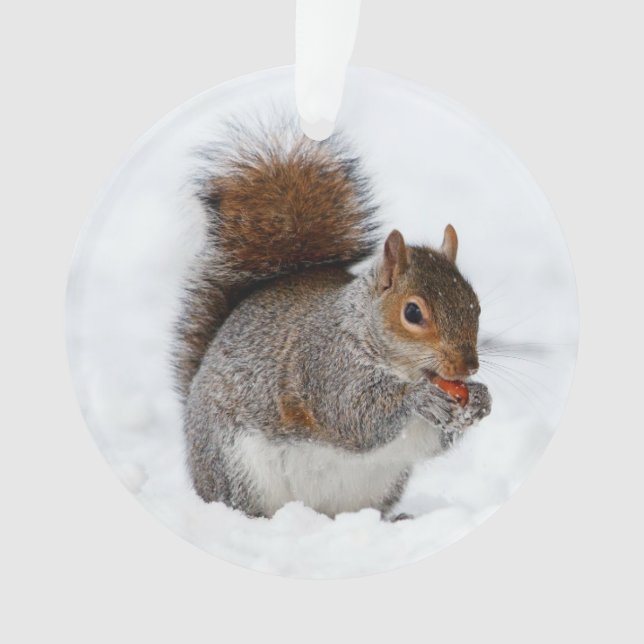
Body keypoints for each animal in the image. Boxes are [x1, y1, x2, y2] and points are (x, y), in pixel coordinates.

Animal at [174, 121, 491, 520]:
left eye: (475, 305)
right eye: (413, 312)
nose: (468, 367)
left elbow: (432, 441)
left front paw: (480, 399)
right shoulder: (325, 366)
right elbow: (354, 415)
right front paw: (419, 398)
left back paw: (393, 520)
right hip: (236, 467)